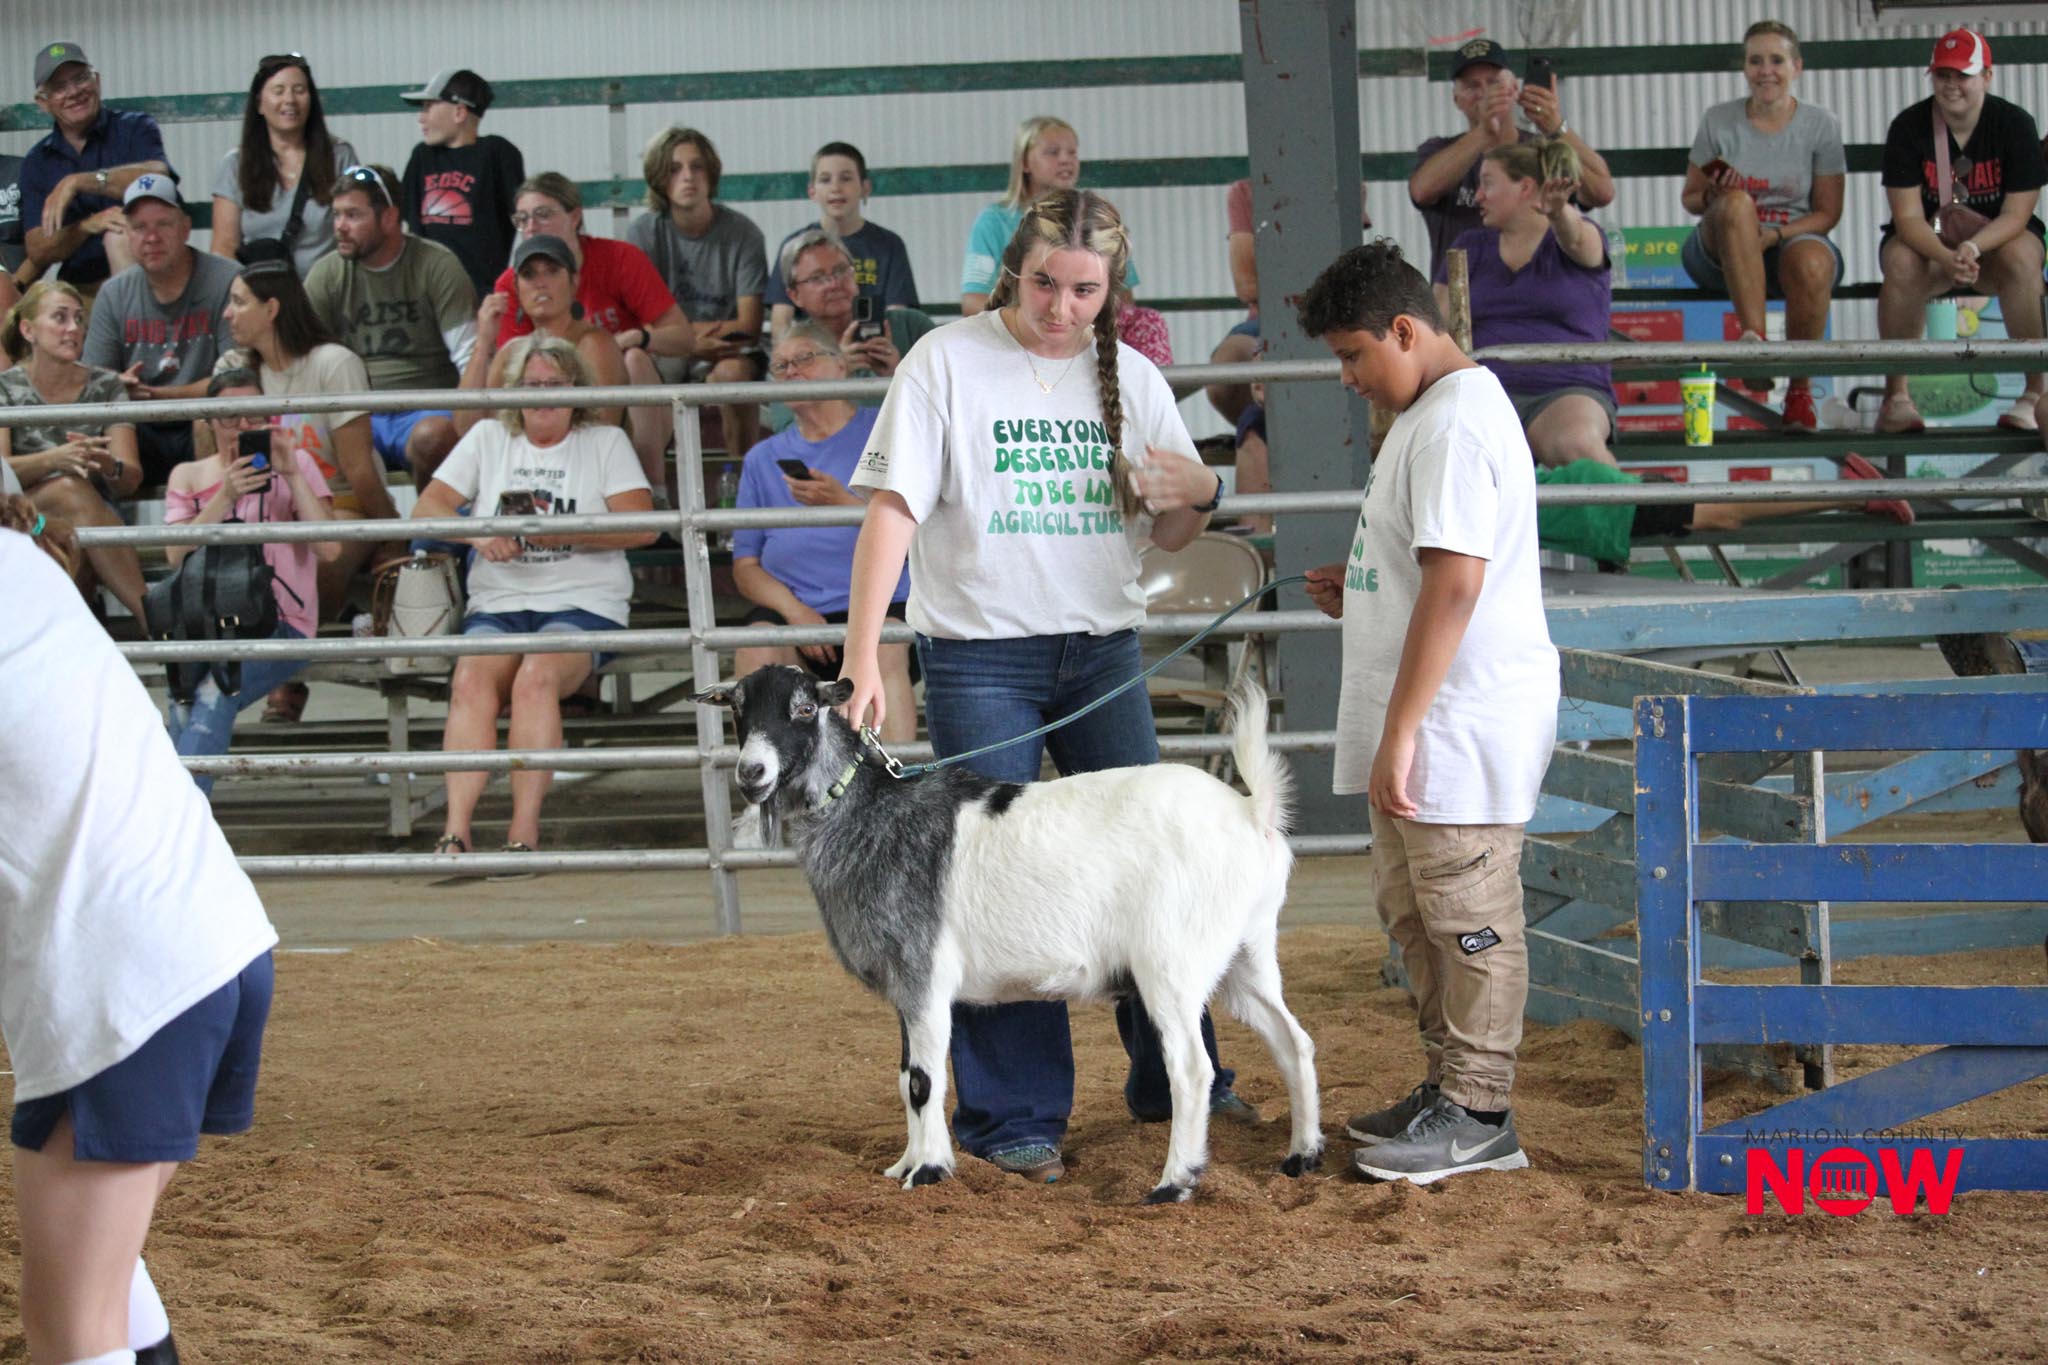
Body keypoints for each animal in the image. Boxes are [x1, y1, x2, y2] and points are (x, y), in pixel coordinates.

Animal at [692, 664, 1322, 1204]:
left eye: (803, 708)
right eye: (739, 710)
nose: (751, 773)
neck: (871, 816)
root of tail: (1252, 814)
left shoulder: (925, 979)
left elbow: (923, 1080)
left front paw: (928, 1172)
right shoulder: (904, 987)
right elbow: (903, 1078)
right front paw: (904, 1164)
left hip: (1173, 963)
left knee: (1192, 1069)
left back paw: (1174, 1182)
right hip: (1245, 953)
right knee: (1293, 1040)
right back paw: (1302, 1155)